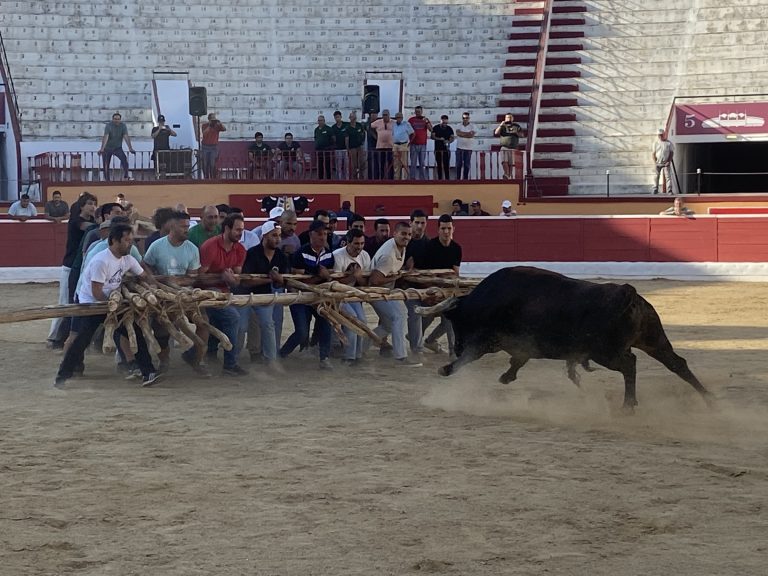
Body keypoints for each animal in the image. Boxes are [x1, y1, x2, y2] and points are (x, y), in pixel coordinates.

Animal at [416, 266, 712, 410]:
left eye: (457, 321)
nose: (456, 346)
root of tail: (626, 293)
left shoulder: (486, 341)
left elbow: (470, 358)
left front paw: (446, 369)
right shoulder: (520, 346)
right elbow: (517, 361)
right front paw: (506, 377)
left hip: (606, 352)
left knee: (630, 365)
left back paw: (629, 405)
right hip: (654, 339)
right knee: (677, 364)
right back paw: (709, 399)